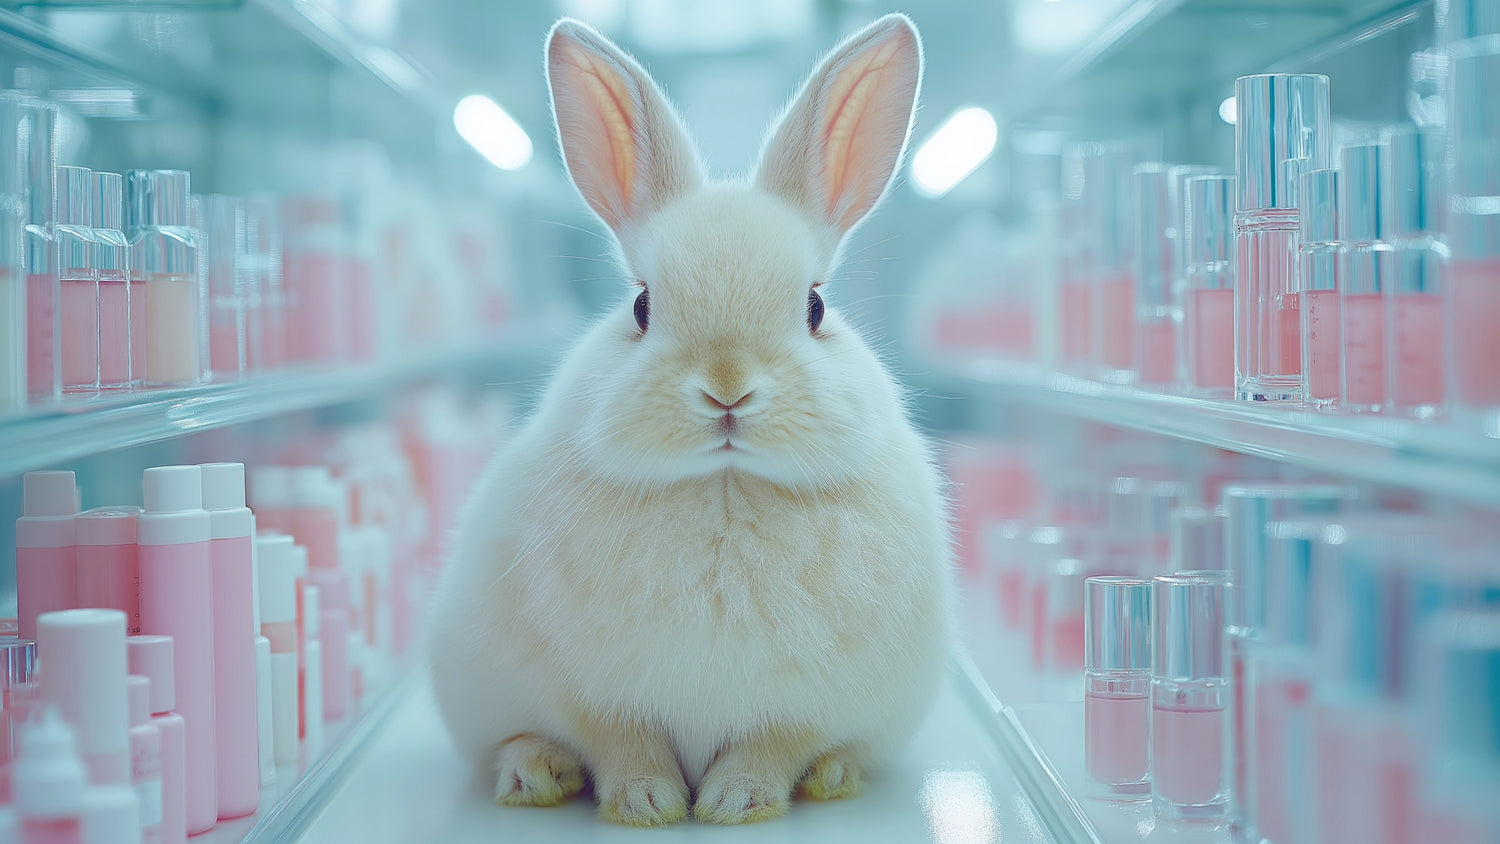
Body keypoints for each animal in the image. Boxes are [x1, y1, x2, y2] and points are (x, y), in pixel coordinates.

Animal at [426, 12, 953, 827]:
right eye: (642, 307)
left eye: (815, 308)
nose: (727, 390)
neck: (725, 486)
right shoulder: (595, 694)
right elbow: (620, 741)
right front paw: (647, 804)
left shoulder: (801, 702)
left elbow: (775, 742)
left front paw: (736, 802)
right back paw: (536, 774)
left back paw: (835, 775)